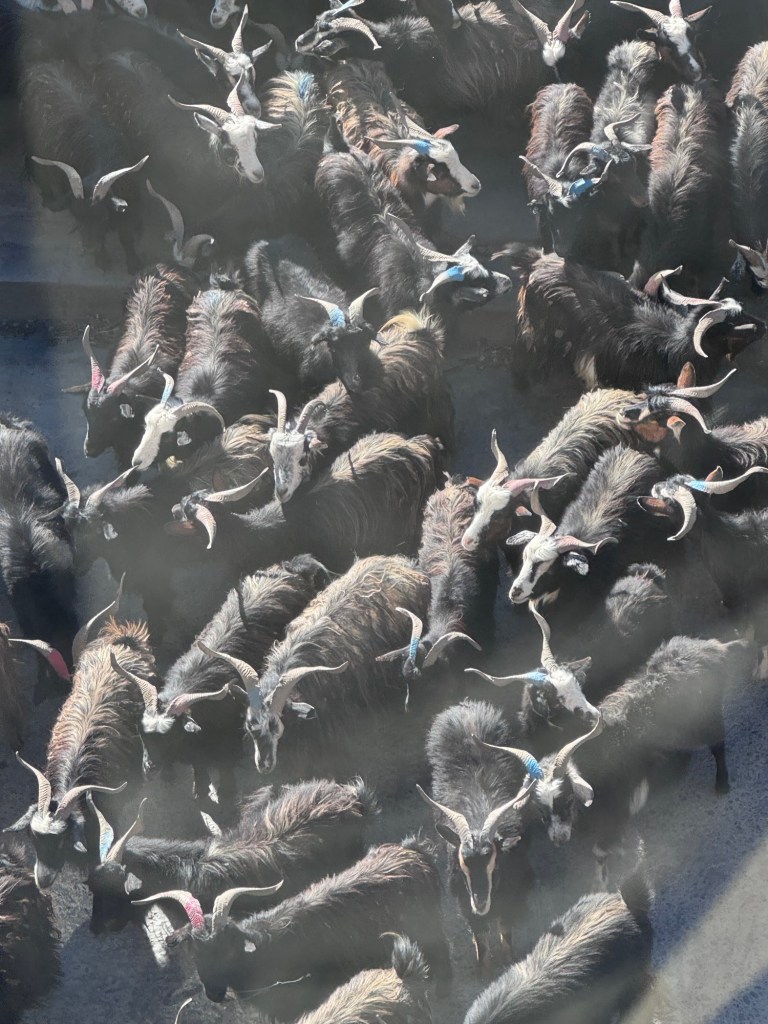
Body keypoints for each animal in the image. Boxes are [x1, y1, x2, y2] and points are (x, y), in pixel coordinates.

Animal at [21, 60, 148, 271]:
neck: (103, 152)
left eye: (102, 217)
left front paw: (134, 263)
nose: (89, 248)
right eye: (77, 217)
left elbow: (126, 234)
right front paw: (102, 259)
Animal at [418, 700, 535, 968]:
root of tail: (466, 707)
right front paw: (485, 970)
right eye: (463, 863)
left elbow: (506, 933)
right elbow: (480, 941)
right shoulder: (464, 901)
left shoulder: (512, 897)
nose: (480, 903)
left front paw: (510, 961)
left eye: (494, 860)